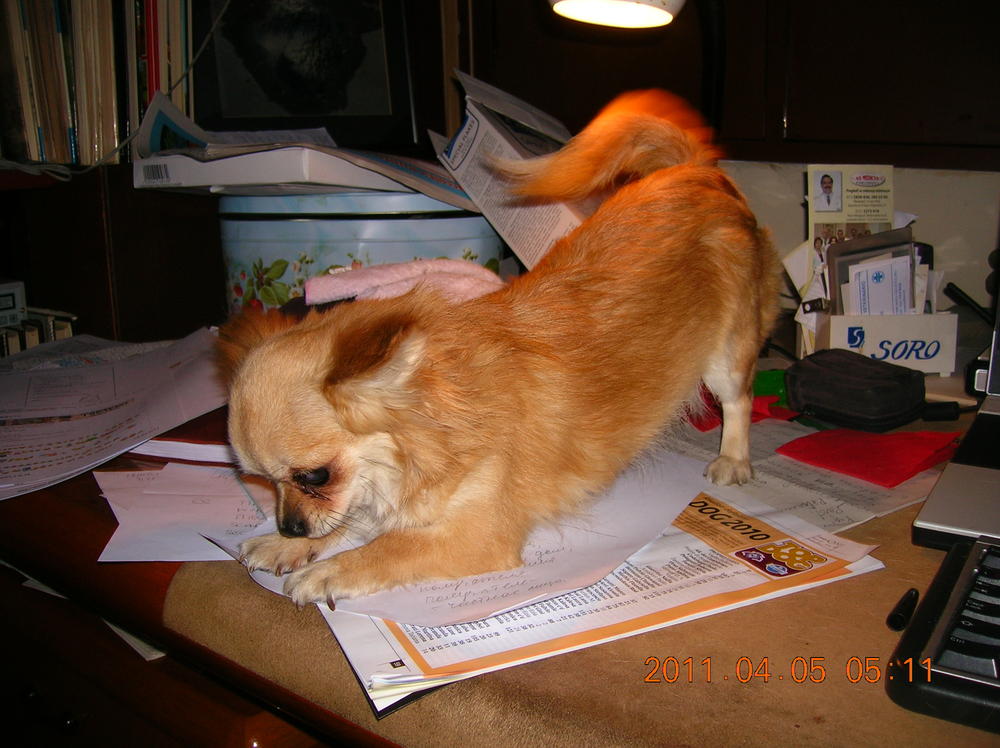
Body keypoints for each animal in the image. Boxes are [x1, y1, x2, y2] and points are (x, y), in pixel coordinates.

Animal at [216, 90, 781, 607]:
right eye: (262, 483)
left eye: (314, 476)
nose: (289, 527)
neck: (433, 424)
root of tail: (695, 171)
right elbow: (355, 517)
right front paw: (288, 546)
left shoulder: (476, 535)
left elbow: (389, 547)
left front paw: (330, 569)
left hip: (726, 353)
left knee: (739, 399)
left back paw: (733, 460)